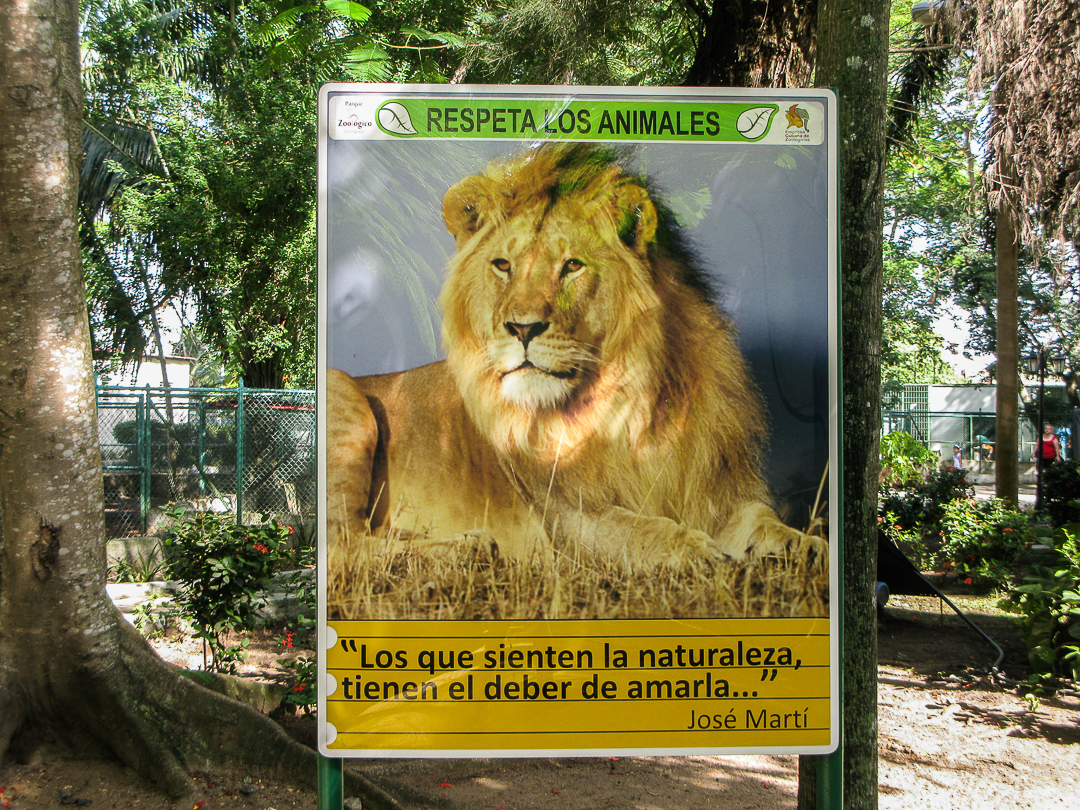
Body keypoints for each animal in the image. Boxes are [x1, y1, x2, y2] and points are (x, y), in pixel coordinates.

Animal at [324, 141, 812, 570]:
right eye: (503, 266)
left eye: (573, 266)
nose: (522, 328)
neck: (634, 404)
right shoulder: (568, 517)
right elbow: (641, 531)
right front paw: (695, 550)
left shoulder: (719, 487)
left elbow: (763, 520)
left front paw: (802, 547)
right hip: (343, 395)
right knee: (342, 547)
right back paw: (468, 548)